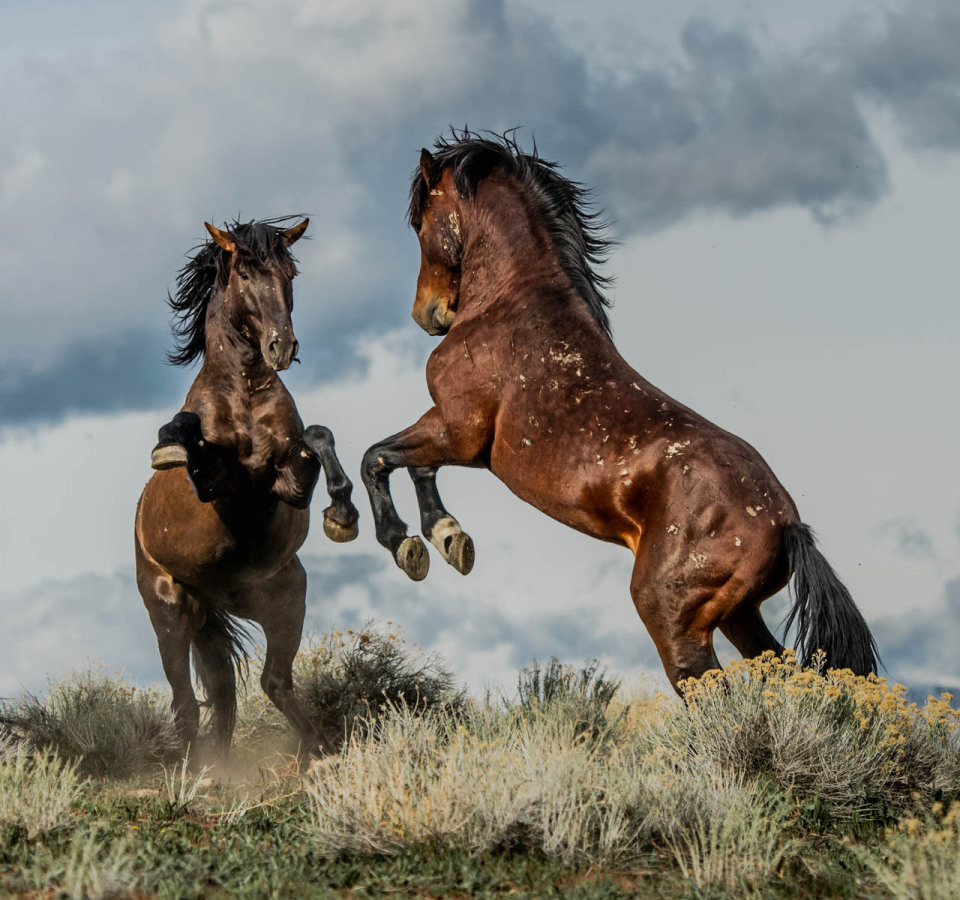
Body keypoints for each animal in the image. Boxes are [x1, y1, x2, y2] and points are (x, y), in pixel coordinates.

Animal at [135, 217, 359, 755]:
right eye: (243, 272)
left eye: (289, 272)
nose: (282, 347)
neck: (245, 397)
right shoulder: (214, 486)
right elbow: (188, 434)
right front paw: (166, 446)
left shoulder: (288, 486)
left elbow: (318, 436)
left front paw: (342, 514)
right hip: (170, 612)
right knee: (186, 706)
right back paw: (196, 771)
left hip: (282, 599)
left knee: (265, 683)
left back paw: (314, 753)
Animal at [359, 132, 878, 690]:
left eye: (420, 223)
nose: (428, 314)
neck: (508, 304)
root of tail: (786, 525)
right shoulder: (452, 436)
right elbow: (415, 466)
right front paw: (449, 538)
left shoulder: (457, 431)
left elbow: (377, 457)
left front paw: (405, 543)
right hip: (740, 616)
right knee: (778, 670)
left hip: (672, 618)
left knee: (708, 688)